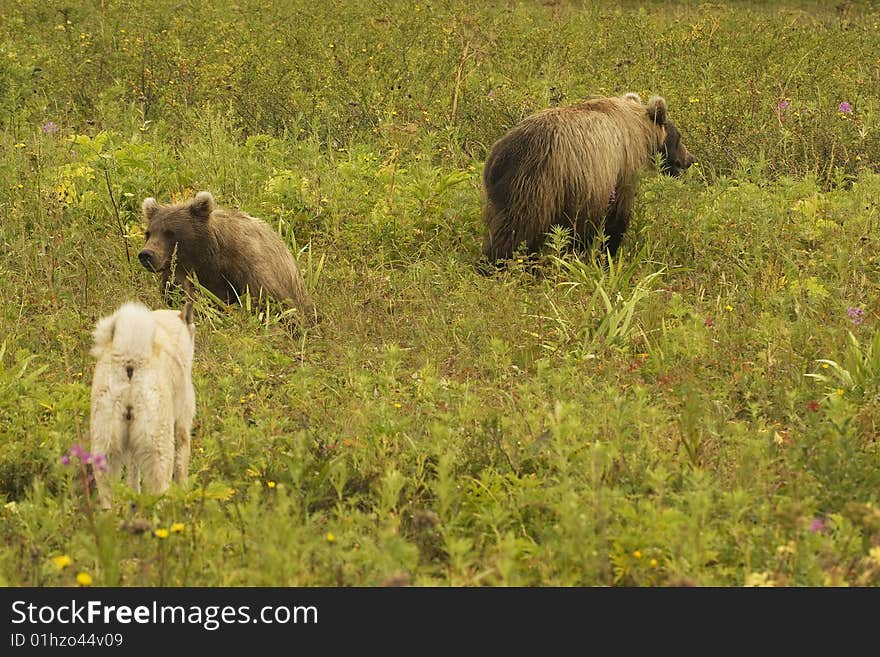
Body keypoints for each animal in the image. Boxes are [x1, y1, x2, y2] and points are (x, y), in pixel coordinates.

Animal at [89, 298, 196, 508]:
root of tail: (130, 358)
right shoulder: (182, 425)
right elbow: (182, 465)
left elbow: (132, 472)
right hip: (158, 446)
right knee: (160, 488)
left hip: (105, 445)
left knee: (107, 494)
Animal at [482, 92, 696, 262]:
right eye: (679, 137)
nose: (690, 159)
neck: (640, 131)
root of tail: (503, 153)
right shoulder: (620, 169)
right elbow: (616, 215)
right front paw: (606, 254)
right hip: (538, 183)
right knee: (519, 228)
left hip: (500, 189)